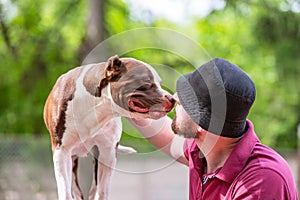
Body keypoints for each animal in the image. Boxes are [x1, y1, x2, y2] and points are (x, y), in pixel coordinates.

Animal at [43, 55, 175, 200]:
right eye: (146, 82)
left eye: (160, 83)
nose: (172, 98)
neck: (98, 107)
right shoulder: (61, 151)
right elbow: (65, 192)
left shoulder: (108, 152)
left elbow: (102, 191)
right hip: (72, 158)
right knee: (76, 190)